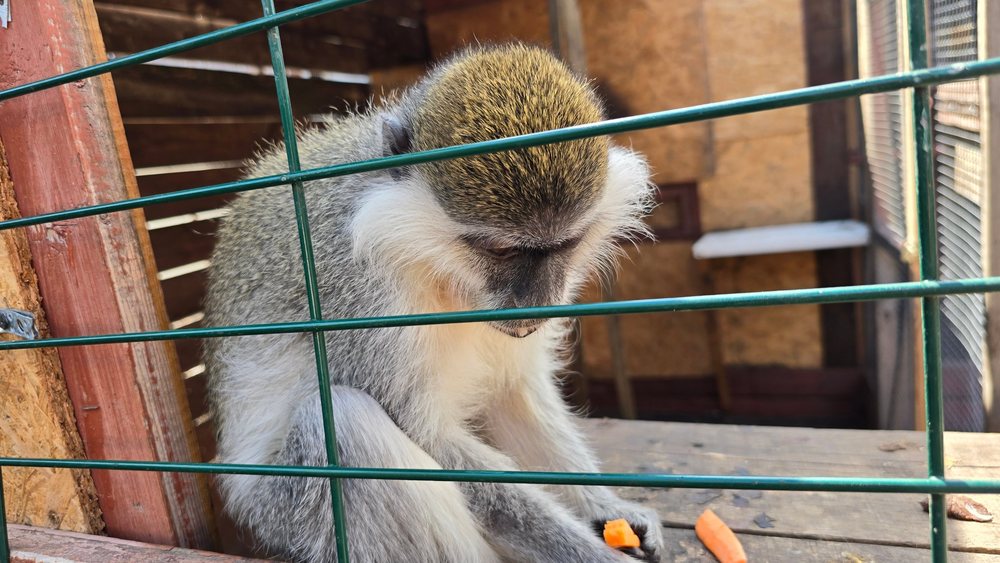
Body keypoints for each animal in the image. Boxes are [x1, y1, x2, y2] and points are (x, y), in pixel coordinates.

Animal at [202, 43, 663, 563]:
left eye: (565, 245)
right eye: (500, 250)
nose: (533, 304)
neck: (432, 260)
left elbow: (516, 389)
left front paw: (608, 506)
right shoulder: (356, 291)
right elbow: (429, 438)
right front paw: (591, 552)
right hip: (285, 514)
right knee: (340, 423)